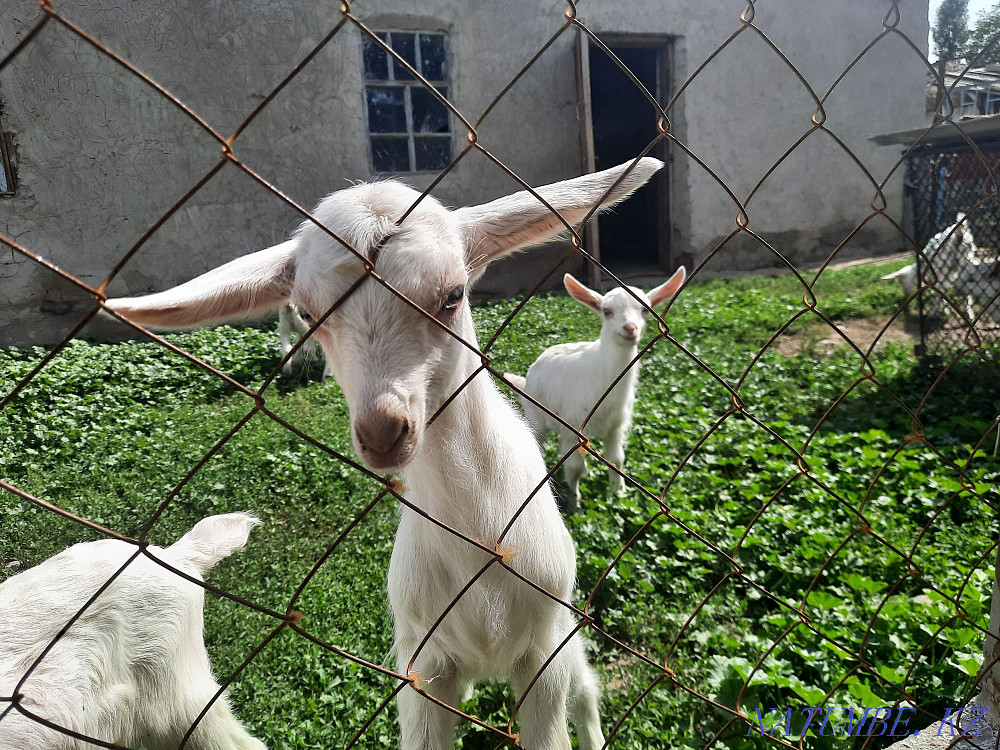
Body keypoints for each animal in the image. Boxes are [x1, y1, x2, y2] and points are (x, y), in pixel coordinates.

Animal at [105, 157, 664, 750]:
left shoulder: (545, 651)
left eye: (453, 295)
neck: (485, 546)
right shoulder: (423, 664)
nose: (381, 432)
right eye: (309, 313)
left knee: (585, 693)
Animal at [504, 269, 685, 512]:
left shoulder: (616, 426)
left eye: (645, 309)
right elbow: (574, 468)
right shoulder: (573, 427)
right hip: (536, 415)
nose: (630, 328)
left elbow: (617, 458)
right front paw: (575, 504)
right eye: (606, 311)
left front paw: (618, 493)